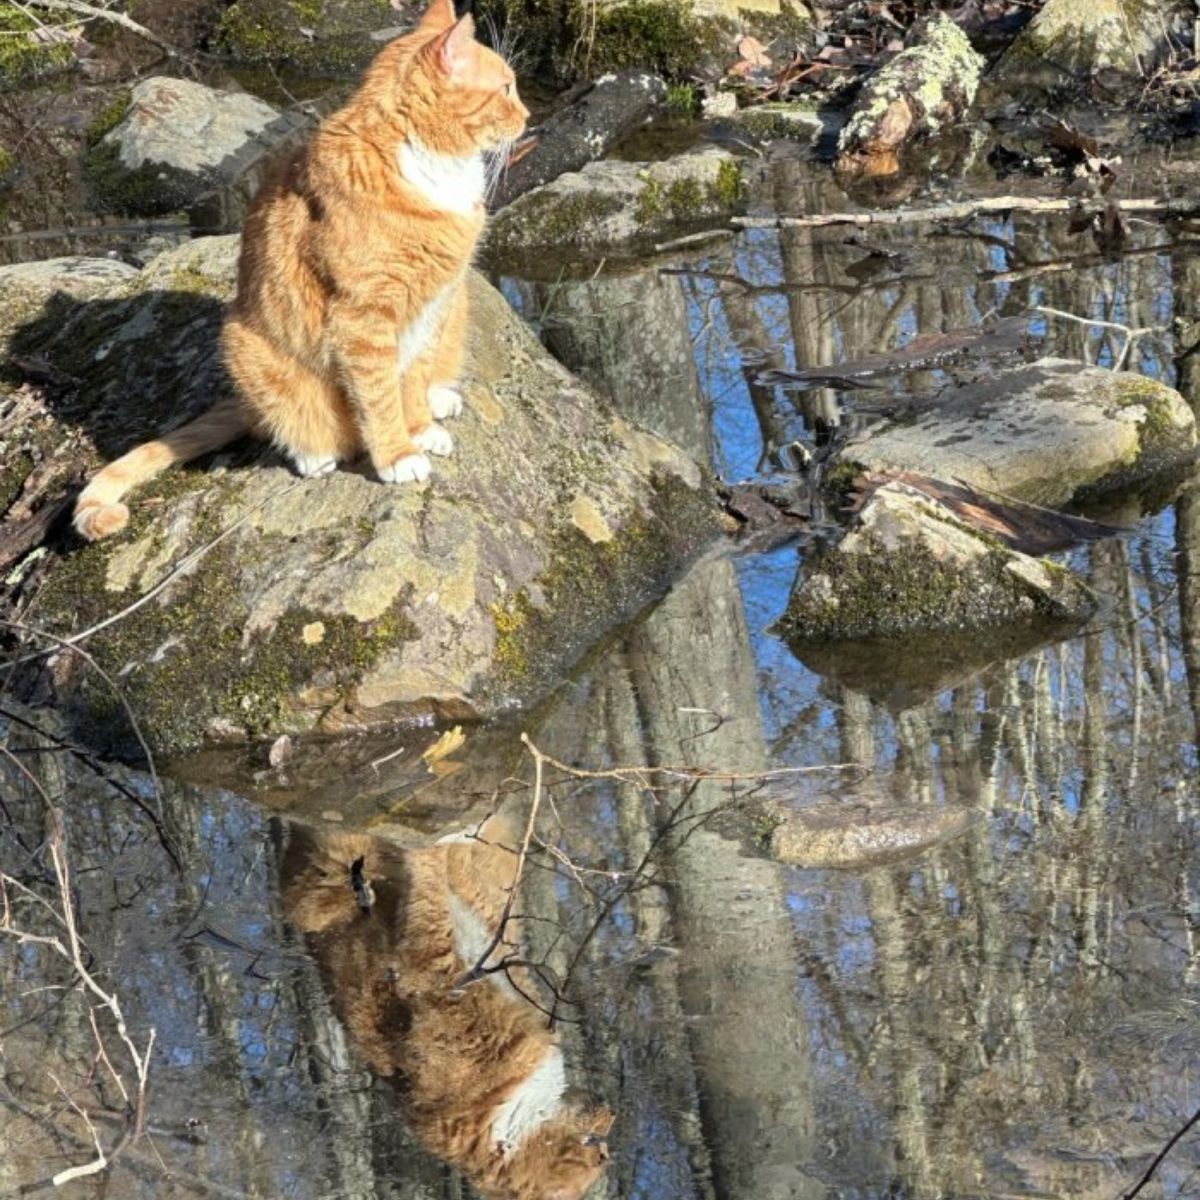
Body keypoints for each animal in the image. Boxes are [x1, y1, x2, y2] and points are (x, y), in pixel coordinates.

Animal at [75, 0, 525, 540]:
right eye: (505, 89)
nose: (527, 118)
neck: (430, 168)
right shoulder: (364, 319)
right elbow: (379, 395)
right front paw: (398, 452)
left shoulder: (433, 304)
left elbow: (412, 378)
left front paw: (418, 426)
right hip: (244, 344)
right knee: (283, 423)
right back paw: (314, 455)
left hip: (454, 309)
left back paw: (439, 399)